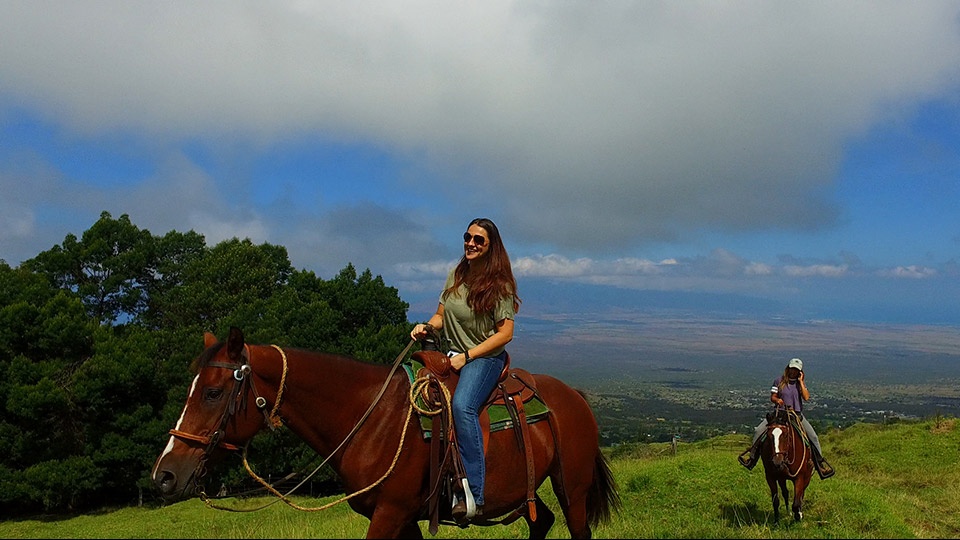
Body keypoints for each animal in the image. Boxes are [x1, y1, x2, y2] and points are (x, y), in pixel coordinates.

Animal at [147, 326, 620, 536]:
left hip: (572, 487)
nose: (164, 475)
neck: (370, 419)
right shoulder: (400, 516)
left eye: (212, 393)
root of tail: (575, 397)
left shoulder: (391, 513)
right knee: (542, 522)